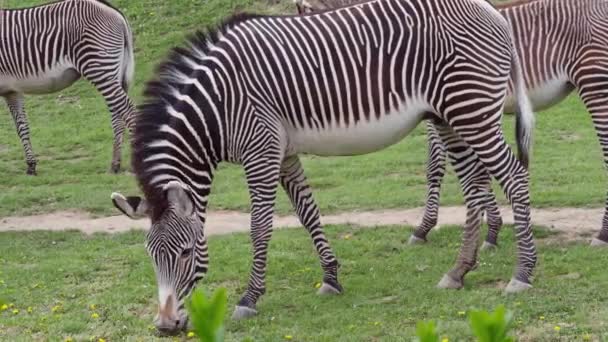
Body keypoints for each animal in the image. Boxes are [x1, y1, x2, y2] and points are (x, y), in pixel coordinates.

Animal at [0, 0, 135, 174]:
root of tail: (115, 12)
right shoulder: (12, 91)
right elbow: (22, 126)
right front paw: (31, 165)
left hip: (99, 68)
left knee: (129, 112)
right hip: (112, 73)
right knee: (118, 115)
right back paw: (115, 164)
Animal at [111, 0, 536, 332]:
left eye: (185, 253)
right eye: (150, 255)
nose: (166, 326)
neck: (216, 106)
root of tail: (491, 11)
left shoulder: (261, 151)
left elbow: (260, 228)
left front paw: (249, 298)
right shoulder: (284, 153)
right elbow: (307, 213)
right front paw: (331, 277)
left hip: (471, 111)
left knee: (514, 176)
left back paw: (522, 274)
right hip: (449, 117)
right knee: (475, 185)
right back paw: (458, 272)